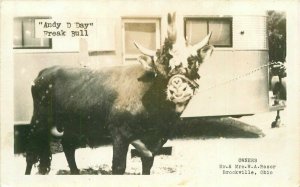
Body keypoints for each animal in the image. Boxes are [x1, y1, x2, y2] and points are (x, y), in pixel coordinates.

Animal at [25, 12, 213, 175]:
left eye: (193, 61)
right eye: (160, 65)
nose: (178, 88)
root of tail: (45, 71)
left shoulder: (155, 140)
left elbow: (147, 164)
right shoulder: (119, 133)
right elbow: (118, 167)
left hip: (73, 122)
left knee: (68, 145)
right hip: (38, 119)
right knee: (31, 154)